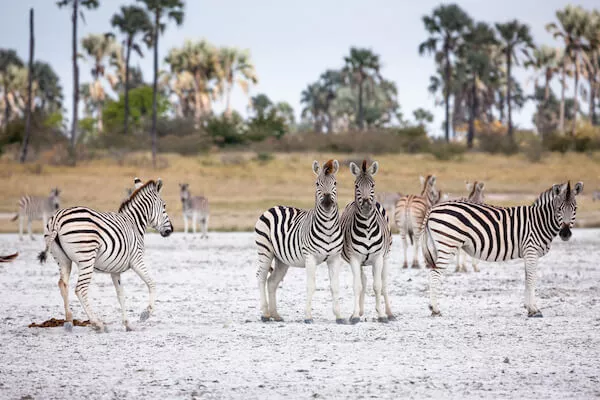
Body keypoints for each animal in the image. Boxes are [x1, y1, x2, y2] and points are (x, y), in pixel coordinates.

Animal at [37, 178, 173, 332]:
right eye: (164, 206)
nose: (170, 230)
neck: (134, 224)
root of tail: (57, 219)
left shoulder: (115, 270)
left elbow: (121, 295)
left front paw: (127, 324)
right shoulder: (136, 259)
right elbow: (151, 283)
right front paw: (146, 313)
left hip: (63, 260)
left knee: (63, 284)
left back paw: (69, 321)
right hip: (86, 259)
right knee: (80, 290)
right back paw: (97, 323)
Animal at [254, 158, 346, 324]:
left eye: (335, 183)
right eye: (317, 183)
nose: (327, 203)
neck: (328, 228)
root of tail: (273, 207)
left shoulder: (335, 258)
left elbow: (335, 286)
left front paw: (339, 316)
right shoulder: (310, 257)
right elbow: (311, 286)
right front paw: (308, 317)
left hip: (281, 259)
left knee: (272, 282)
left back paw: (275, 315)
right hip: (265, 250)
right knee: (261, 277)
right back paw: (265, 314)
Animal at [340, 161, 396, 324]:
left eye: (373, 185)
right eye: (356, 185)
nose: (365, 205)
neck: (367, 228)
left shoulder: (378, 258)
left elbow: (377, 286)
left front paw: (382, 315)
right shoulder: (354, 258)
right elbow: (357, 286)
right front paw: (354, 315)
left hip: (385, 257)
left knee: (384, 283)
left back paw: (389, 313)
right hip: (360, 262)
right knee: (363, 281)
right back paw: (360, 311)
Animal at [422, 180, 580, 318]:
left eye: (574, 209)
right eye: (559, 209)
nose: (565, 234)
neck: (540, 221)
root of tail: (433, 209)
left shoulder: (528, 253)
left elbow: (526, 277)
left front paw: (528, 307)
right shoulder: (531, 250)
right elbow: (531, 278)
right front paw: (534, 310)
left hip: (438, 246)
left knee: (431, 272)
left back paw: (431, 306)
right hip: (448, 244)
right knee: (435, 273)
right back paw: (436, 310)